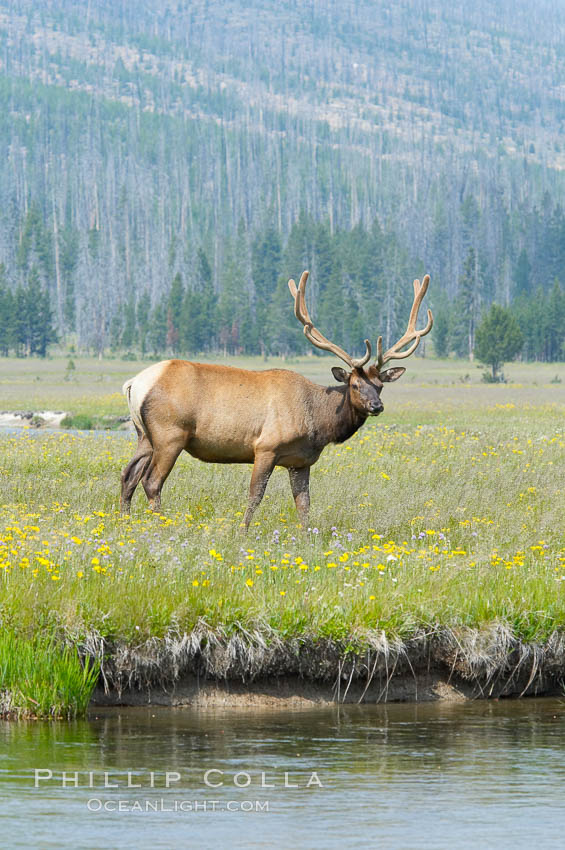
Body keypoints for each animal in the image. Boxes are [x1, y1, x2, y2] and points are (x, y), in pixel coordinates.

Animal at [120, 271, 432, 528]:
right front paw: (243, 533)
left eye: (380, 386)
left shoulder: (301, 461)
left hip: (144, 435)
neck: (317, 423)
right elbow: (255, 496)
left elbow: (304, 504)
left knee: (128, 475)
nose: (376, 406)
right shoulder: (265, 447)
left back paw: (125, 523)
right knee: (151, 481)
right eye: (355, 385)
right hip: (170, 434)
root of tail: (135, 383)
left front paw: (308, 538)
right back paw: (160, 525)